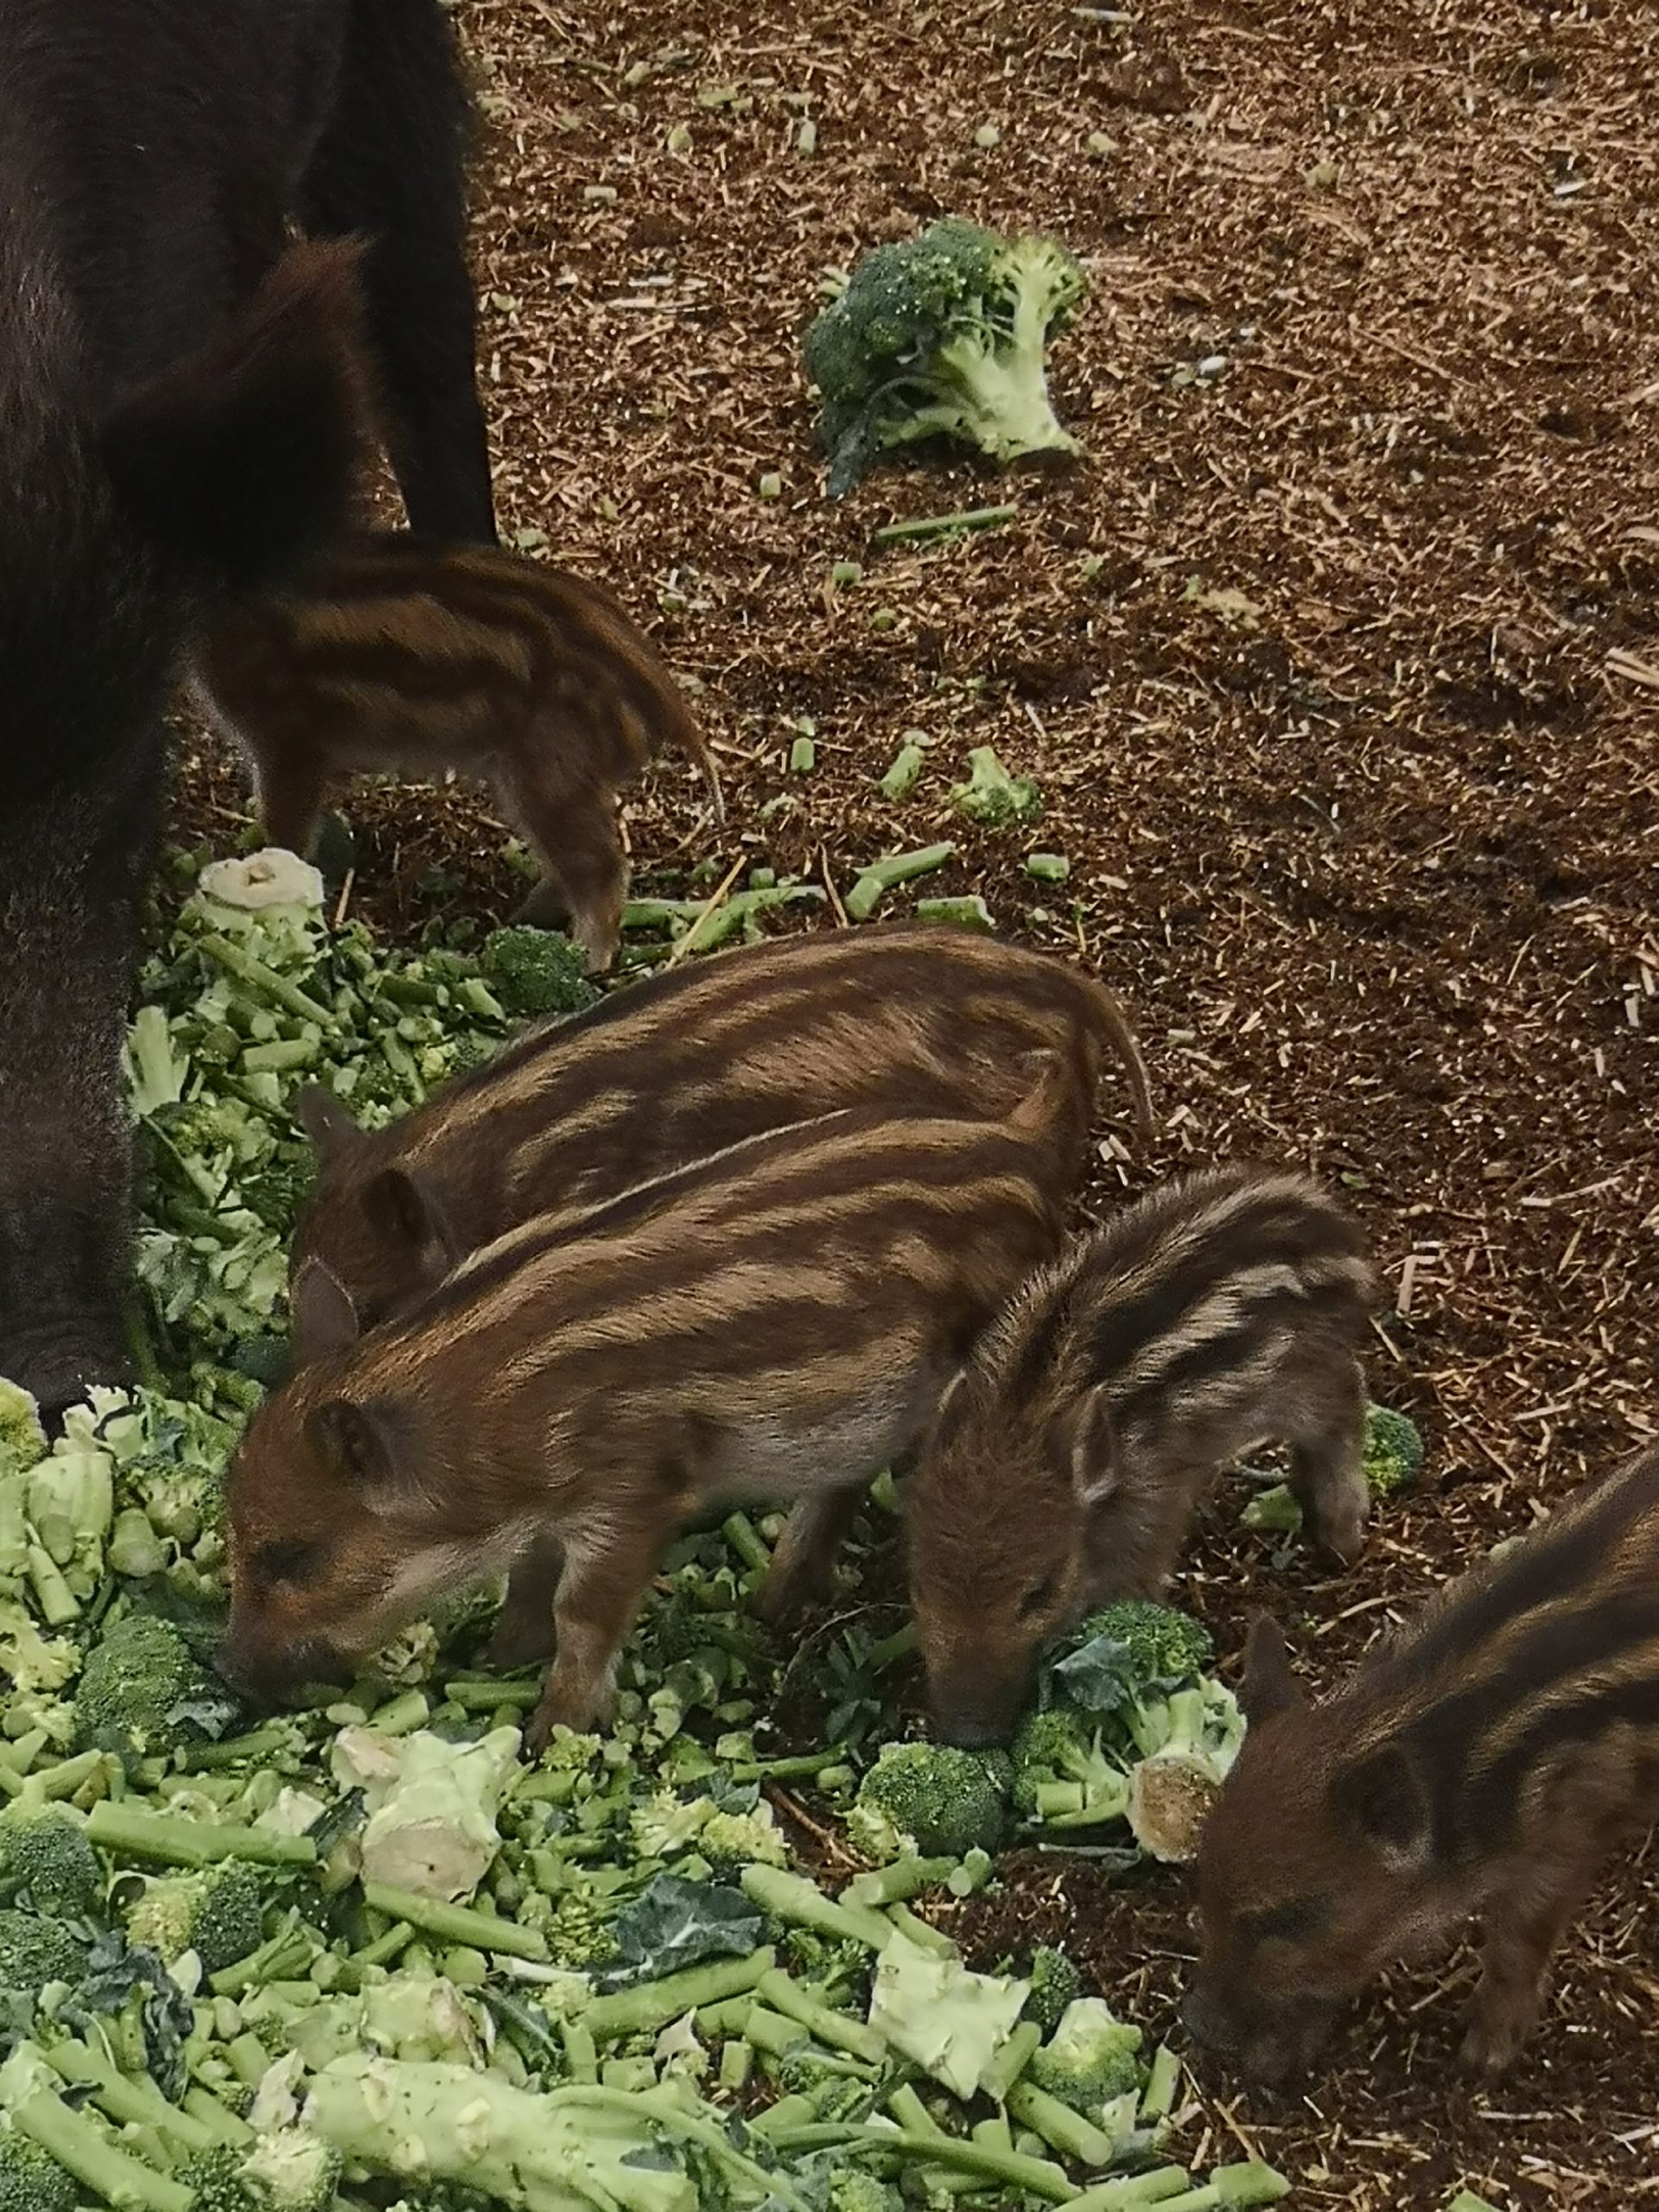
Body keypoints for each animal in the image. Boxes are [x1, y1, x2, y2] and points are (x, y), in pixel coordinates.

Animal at [191, 533, 724, 972]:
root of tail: (662, 701)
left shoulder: (288, 740)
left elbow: (285, 831)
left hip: (549, 775)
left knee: (602, 869)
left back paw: (585, 962)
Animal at [222, 1064, 1082, 1752]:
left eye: (293, 1556)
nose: (232, 1675)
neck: (488, 1418)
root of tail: (1023, 1143)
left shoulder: (634, 1491)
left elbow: (581, 1614)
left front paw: (551, 1735)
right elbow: (531, 1582)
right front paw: (499, 1659)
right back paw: (770, 1601)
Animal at [907, 1165, 1377, 1745]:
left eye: (1040, 1593)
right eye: (919, 1581)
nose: (964, 1734)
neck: (1022, 1411)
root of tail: (1337, 1228)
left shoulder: (1154, 1509)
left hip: (1303, 1383)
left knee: (1346, 1402)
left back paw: (1339, 1536)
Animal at [1186, 1441, 1659, 2083]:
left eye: (1290, 1920)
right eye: (1200, 1880)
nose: (1194, 2024)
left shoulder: (1568, 1838)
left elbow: (1519, 1940)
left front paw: (1481, 2059)